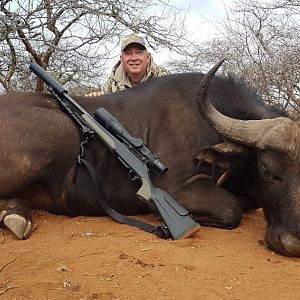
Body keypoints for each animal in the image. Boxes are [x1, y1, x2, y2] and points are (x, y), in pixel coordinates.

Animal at [0, 61, 300, 258]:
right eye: (266, 169)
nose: (292, 243)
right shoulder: (179, 188)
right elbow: (232, 208)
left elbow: (246, 202)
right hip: (58, 131)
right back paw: (15, 216)